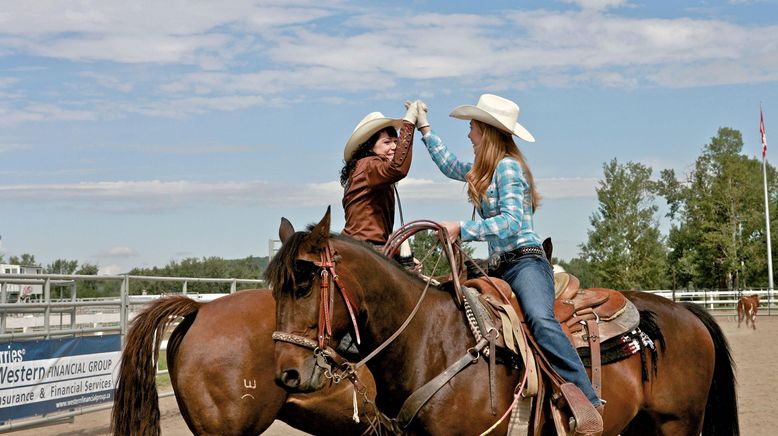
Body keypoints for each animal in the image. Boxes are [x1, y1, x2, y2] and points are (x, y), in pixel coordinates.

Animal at [270, 209, 736, 436]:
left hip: (678, 424)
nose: (286, 374)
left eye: (306, 284)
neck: (430, 342)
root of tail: (688, 311)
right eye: (275, 288)